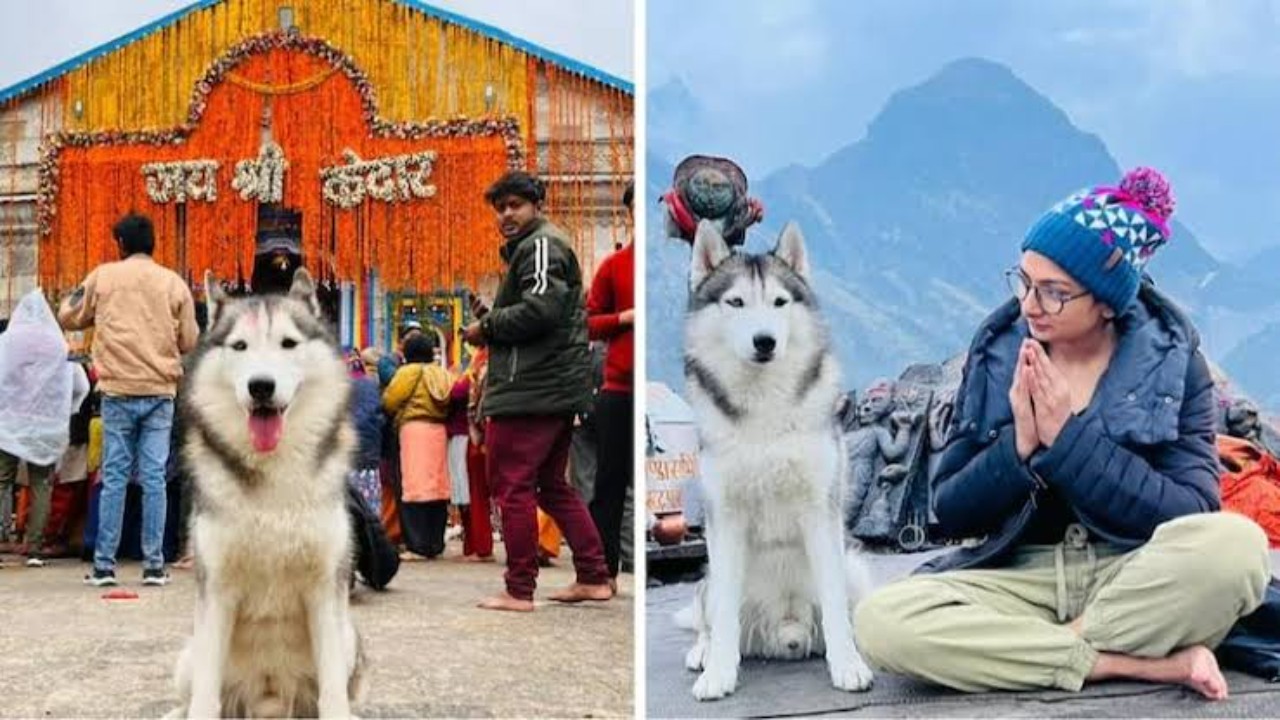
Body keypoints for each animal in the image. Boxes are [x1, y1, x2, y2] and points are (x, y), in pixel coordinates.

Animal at [170, 267, 366, 712]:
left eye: (288, 343)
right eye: (240, 346)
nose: (261, 385)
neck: (273, 470)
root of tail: (269, 698)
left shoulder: (325, 587)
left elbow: (332, 692)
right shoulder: (216, 588)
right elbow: (205, 699)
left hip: (349, 637)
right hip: (189, 652)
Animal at [675, 221, 875, 696]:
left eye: (780, 302)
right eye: (736, 302)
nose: (764, 341)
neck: (764, 408)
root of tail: (787, 630)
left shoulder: (819, 510)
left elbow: (835, 606)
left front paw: (848, 665)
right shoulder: (725, 516)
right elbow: (723, 617)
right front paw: (718, 673)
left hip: (854, 567)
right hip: (709, 575)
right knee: (711, 616)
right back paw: (704, 652)